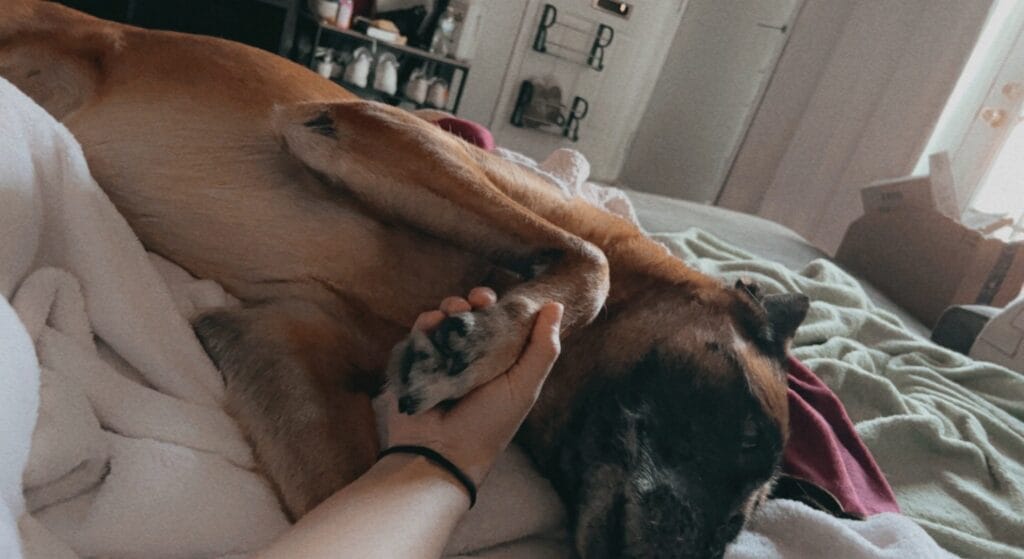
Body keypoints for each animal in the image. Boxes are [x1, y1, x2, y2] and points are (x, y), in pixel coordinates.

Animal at [0, 3, 808, 557]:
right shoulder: (376, 131)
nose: (719, 545)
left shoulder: (281, 339)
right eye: (746, 431)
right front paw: (484, 340)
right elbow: (590, 261)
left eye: (746, 519)